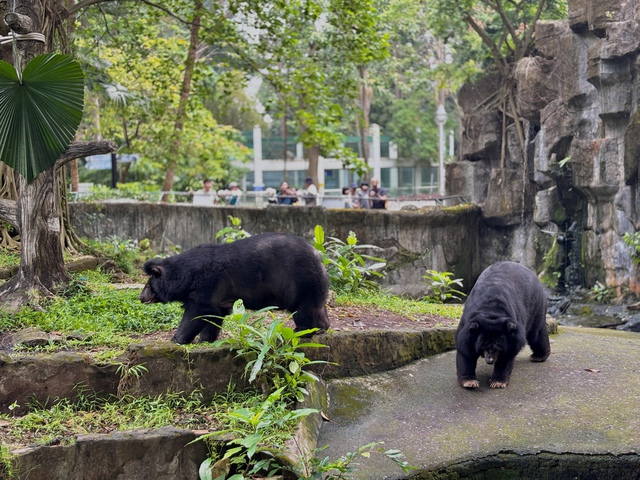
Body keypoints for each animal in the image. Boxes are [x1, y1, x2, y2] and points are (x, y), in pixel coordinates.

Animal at [139, 231, 330, 344]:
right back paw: (321, 328)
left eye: (148, 285)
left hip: (300, 282)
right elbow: (214, 315)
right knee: (317, 307)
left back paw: (301, 331)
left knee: (303, 310)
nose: (140, 297)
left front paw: (176, 339)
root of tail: (318, 256)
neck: (185, 276)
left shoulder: (206, 285)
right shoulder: (216, 295)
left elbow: (197, 313)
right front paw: (205, 339)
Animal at [456, 260, 552, 388]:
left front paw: (497, 382)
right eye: (483, 344)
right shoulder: (468, 326)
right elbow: (465, 352)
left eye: (498, 345)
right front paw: (470, 382)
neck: (491, 312)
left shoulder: (511, 333)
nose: (490, 360)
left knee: (536, 333)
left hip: (536, 304)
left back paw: (538, 356)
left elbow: (506, 356)